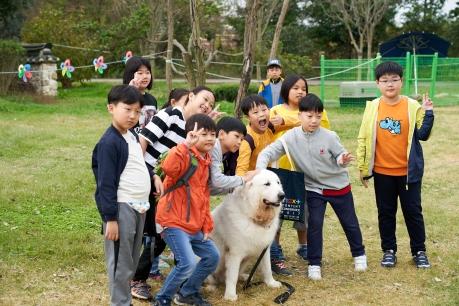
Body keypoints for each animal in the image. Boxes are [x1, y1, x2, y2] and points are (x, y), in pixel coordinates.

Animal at [210, 170, 286, 302]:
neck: (254, 217)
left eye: (278, 183)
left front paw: (271, 283)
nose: (282, 195)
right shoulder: (234, 254)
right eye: (267, 184)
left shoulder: (264, 249)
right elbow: (232, 276)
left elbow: (267, 268)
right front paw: (230, 295)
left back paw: (244, 277)